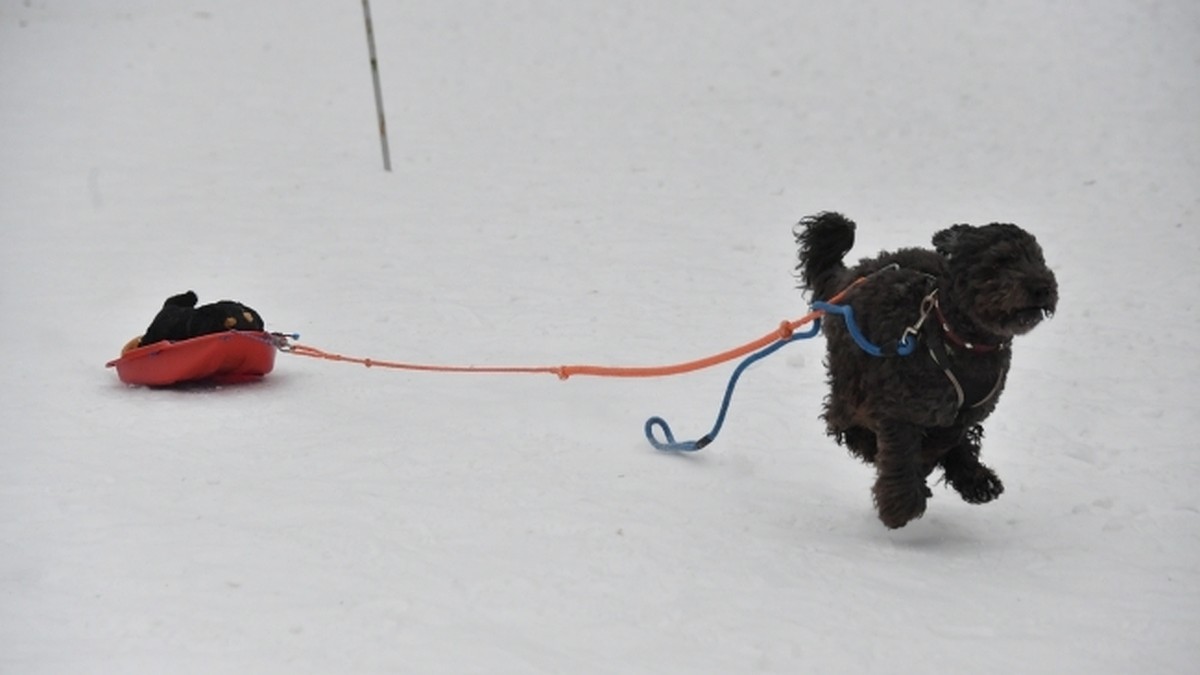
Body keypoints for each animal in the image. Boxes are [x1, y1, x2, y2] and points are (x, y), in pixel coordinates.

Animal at [796, 212, 1060, 528]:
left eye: (1038, 258)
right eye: (1001, 261)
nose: (1042, 287)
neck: (963, 340)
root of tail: (853, 275)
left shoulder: (965, 412)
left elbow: (952, 439)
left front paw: (972, 478)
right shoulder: (900, 407)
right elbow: (904, 452)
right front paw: (902, 505)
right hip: (852, 376)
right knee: (841, 419)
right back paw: (868, 445)